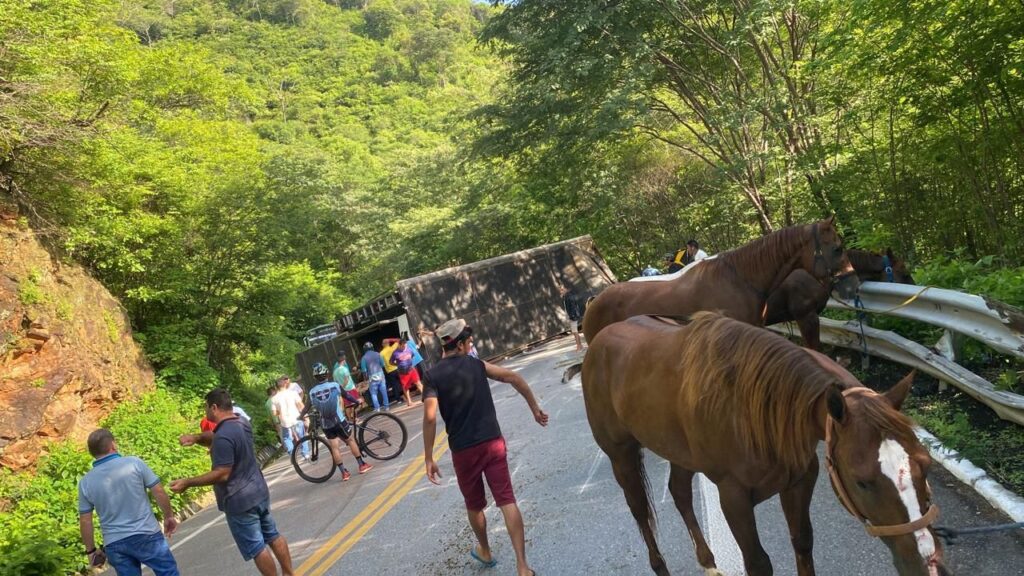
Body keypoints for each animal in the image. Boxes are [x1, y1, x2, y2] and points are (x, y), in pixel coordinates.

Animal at [581, 309, 946, 573]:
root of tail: (597, 343)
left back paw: (708, 562)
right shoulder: (733, 498)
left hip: (679, 452)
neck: (750, 406)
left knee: (680, 493)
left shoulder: (800, 481)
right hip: (621, 456)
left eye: (925, 463)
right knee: (640, 512)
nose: (927, 564)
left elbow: (802, 543)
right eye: (862, 482)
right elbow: (758, 563)